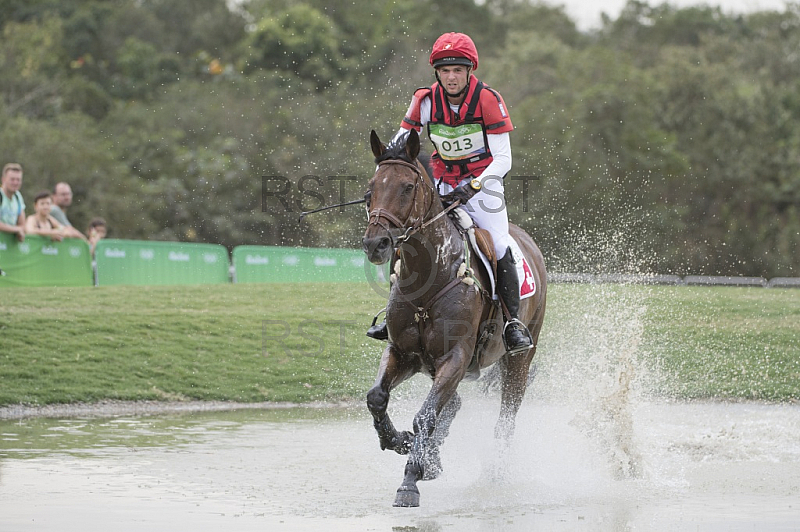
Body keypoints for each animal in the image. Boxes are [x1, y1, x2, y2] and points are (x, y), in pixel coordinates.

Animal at [364, 129, 548, 508]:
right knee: (454, 403)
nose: (375, 244)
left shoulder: (455, 357)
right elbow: (377, 397)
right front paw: (400, 442)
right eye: (371, 187)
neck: (429, 275)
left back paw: (493, 474)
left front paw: (410, 481)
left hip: (518, 361)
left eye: (407, 187)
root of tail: (527, 242)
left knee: (505, 419)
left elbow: (425, 416)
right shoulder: (403, 353)